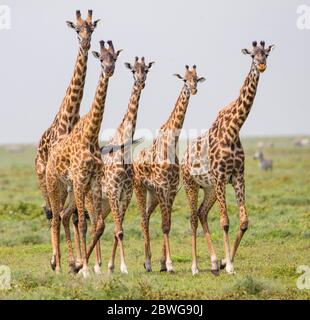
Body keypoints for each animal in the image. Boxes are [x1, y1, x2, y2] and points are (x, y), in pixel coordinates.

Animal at [35, 10, 100, 221]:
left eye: (92, 29)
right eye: (77, 30)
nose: (86, 44)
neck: (70, 116)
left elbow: (78, 216)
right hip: (45, 179)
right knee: (50, 212)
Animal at [45, 40, 121, 278]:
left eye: (114, 57)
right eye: (101, 58)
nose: (109, 69)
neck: (91, 134)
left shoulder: (94, 181)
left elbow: (99, 225)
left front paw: (81, 266)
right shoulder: (80, 179)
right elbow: (83, 225)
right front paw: (85, 269)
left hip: (70, 190)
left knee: (63, 215)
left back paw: (70, 264)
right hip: (56, 185)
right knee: (56, 218)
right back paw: (58, 266)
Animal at [84, 56, 154, 274]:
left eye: (146, 70)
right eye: (133, 70)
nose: (141, 82)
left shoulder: (126, 194)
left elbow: (118, 230)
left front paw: (113, 265)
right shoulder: (115, 191)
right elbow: (119, 231)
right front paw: (122, 267)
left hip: (105, 203)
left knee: (100, 224)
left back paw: (98, 265)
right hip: (92, 199)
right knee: (93, 225)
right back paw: (93, 266)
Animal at [134, 65, 205, 272]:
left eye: (197, 78)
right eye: (184, 80)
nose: (194, 89)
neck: (171, 143)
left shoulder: (171, 190)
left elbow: (168, 224)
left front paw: (164, 264)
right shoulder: (162, 188)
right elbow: (164, 226)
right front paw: (169, 264)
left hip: (153, 195)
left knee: (147, 216)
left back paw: (149, 261)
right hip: (140, 187)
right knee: (142, 219)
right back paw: (147, 263)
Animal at [180, 40, 274, 276]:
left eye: (266, 53)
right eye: (252, 55)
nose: (261, 65)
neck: (233, 129)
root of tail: (183, 156)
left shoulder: (238, 177)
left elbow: (244, 222)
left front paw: (224, 261)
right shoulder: (221, 177)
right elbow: (224, 221)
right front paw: (230, 266)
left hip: (210, 188)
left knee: (202, 213)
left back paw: (214, 262)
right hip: (191, 184)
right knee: (193, 218)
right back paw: (195, 267)